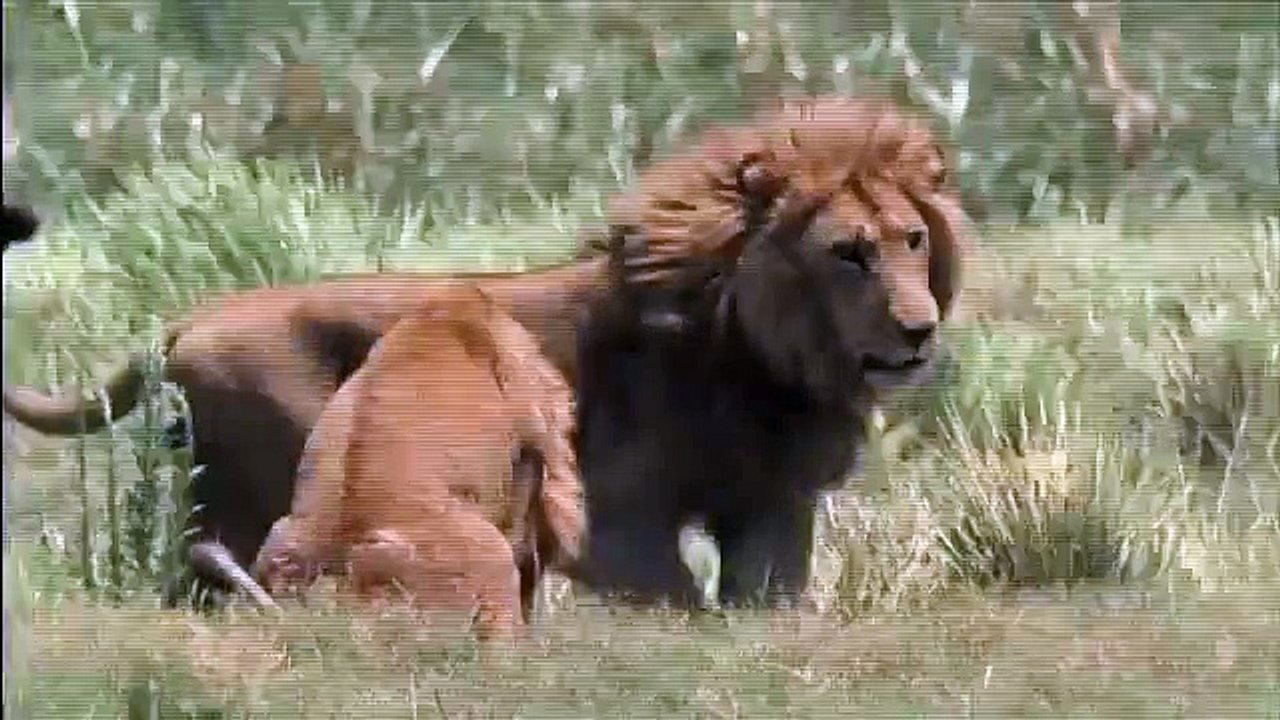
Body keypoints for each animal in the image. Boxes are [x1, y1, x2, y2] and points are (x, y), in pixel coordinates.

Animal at [573, 96, 972, 609]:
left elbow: (764, 585)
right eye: (848, 252)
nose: (919, 329)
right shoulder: (617, 511)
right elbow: (666, 589)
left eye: (914, 239)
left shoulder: (774, 500)